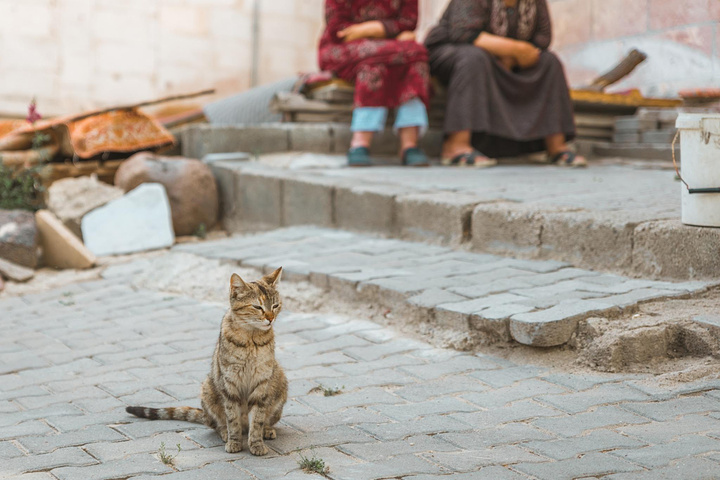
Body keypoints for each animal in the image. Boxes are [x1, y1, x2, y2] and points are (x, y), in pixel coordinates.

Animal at [126, 268, 286, 456]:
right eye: (257, 307)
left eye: (275, 305)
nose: (271, 318)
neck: (252, 338)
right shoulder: (229, 384)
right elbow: (232, 418)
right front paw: (234, 441)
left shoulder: (262, 383)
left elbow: (258, 420)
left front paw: (256, 444)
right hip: (207, 388)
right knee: (216, 423)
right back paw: (225, 433)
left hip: (280, 381)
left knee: (264, 420)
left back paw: (267, 430)